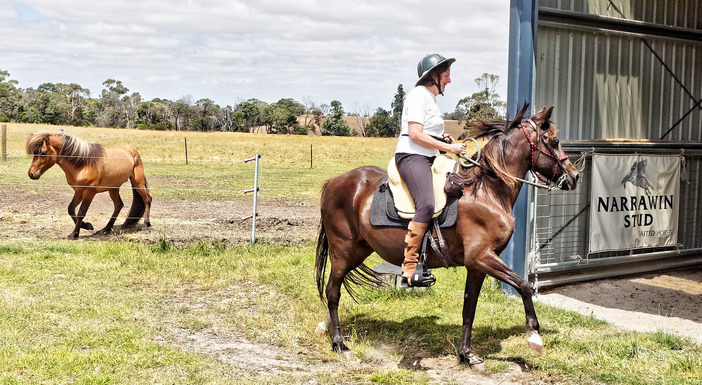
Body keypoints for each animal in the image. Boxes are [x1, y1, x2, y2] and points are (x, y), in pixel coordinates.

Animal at [316, 103, 580, 368]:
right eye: (554, 141)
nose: (575, 176)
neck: (487, 191)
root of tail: (333, 182)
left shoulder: (477, 265)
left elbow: (469, 308)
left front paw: (467, 354)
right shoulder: (481, 257)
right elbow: (523, 285)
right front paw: (534, 337)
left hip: (358, 251)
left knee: (333, 291)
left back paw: (326, 327)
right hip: (343, 251)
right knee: (332, 291)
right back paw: (339, 343)